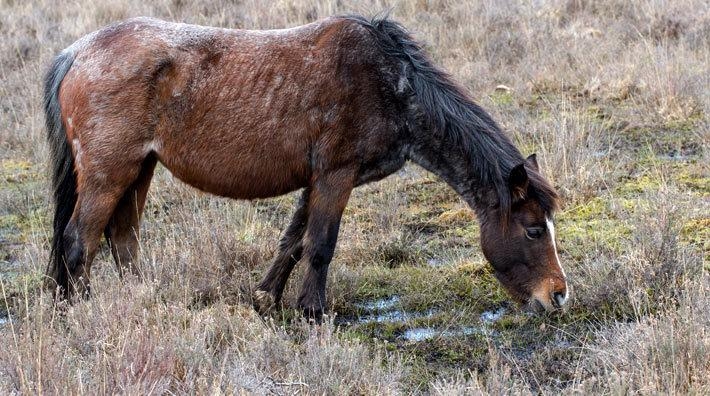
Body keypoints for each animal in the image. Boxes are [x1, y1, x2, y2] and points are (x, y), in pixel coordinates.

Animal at [44, 15, 572, 318]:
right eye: (532, 229)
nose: (559, 296)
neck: (391, 84)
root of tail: (78, 52)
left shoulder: (316, 181)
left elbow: (293, 241)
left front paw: (266, 300)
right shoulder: (336, 176)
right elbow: (320, 245)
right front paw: (313, 314)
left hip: (140, 169)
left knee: (121, 240)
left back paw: (142, 299)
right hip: (109, 174)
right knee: (78, 241)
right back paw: (80, 314)